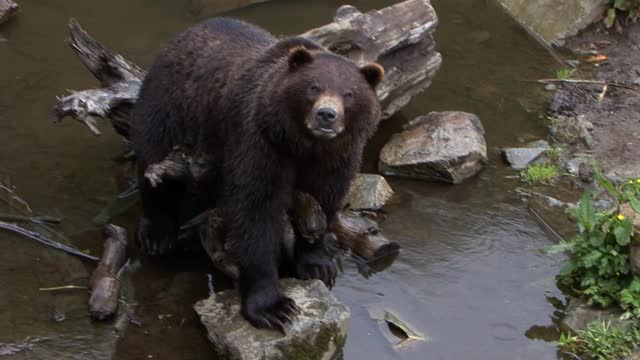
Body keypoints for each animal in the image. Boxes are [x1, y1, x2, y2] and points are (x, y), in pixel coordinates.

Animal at [128, 19, 382, 330]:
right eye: (313, 87)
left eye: (348, 94)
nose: (326, 115)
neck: (302, 144)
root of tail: (180, 37)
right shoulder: (259, 143)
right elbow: (256, 210)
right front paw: (274, 307)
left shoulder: (336, 158)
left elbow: (323, 201)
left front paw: (318, 264)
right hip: (169, 107)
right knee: (155, 164)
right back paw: (157, 234)